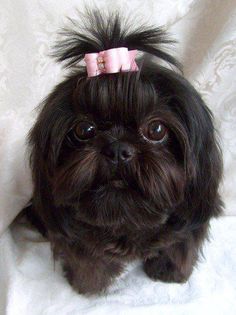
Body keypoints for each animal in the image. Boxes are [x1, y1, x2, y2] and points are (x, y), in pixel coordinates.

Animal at [26, 9, 223, 296]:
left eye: (156, 129)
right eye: (84, 129)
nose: (117, 149)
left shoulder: (192, 216)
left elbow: (180, 244)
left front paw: (168, 271)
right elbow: (86, 259)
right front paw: (90, 284)